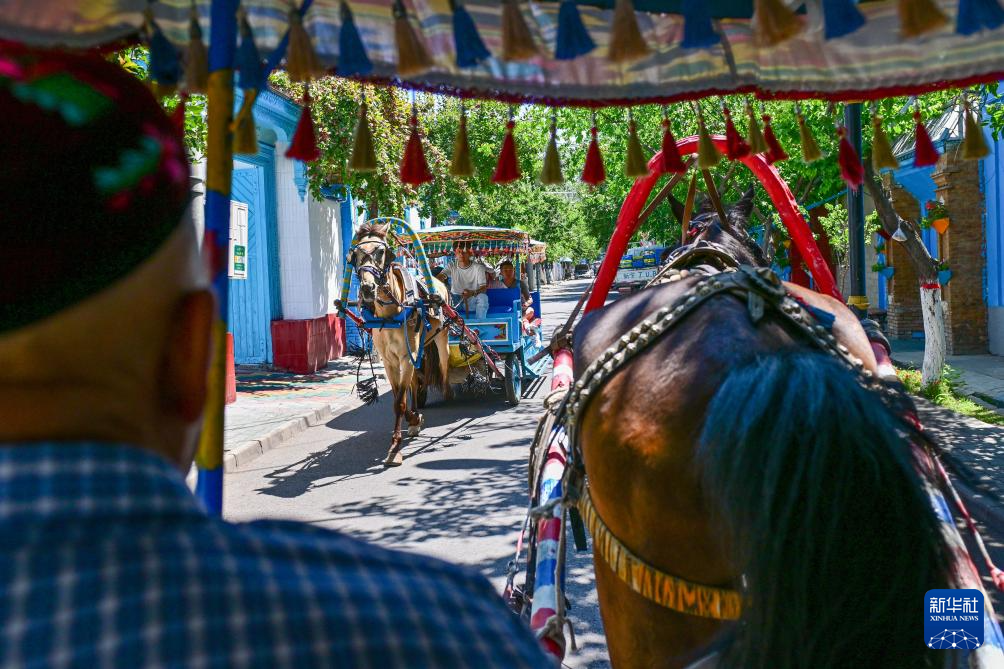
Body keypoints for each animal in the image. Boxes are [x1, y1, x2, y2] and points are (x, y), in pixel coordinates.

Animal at [349, 220, 451, 466]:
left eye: (381, 251)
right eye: (355, 254)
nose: (367, 289)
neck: (390, 314)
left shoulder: (406, 356)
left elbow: (399, 402)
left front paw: (396, 447)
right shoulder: (390, 361)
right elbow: (398, 397)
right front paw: (411, 422)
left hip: (440, 339)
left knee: (444, 365)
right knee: (415, 381)